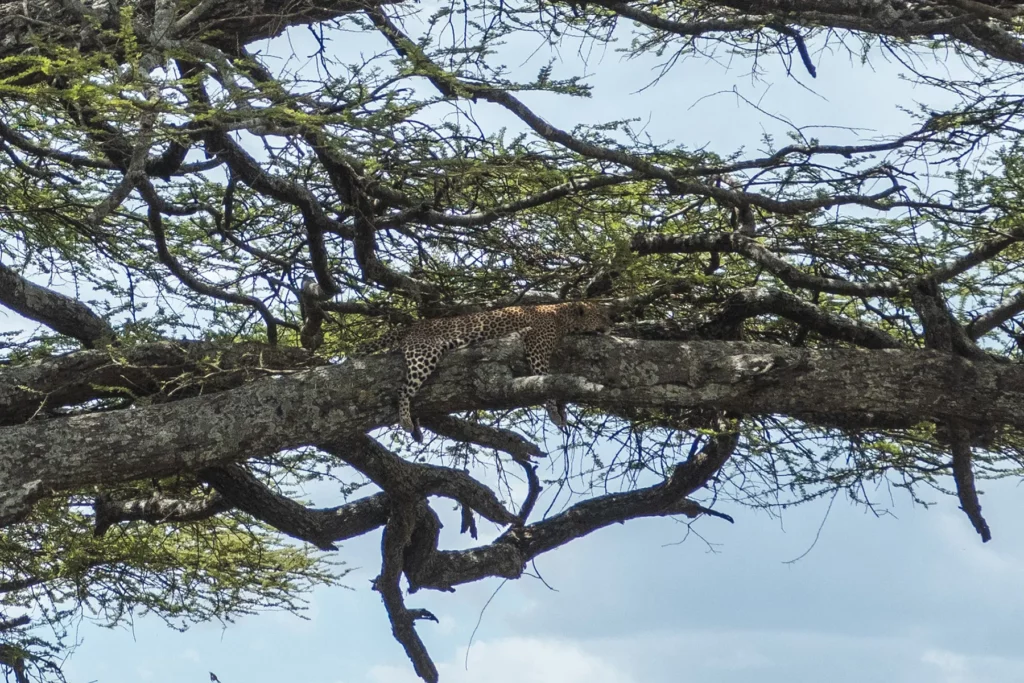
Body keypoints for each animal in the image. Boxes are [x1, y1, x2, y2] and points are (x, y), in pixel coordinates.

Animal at [357, 301, 612, 442]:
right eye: (600, 315)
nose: (611, 324)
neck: (563, 316)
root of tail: (412, 325)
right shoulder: (537, 349)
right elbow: (545, 380)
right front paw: (554, 413)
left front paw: (562, 411)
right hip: (425, 353)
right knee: (403, 391)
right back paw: (405, 421)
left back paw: (415, 428)